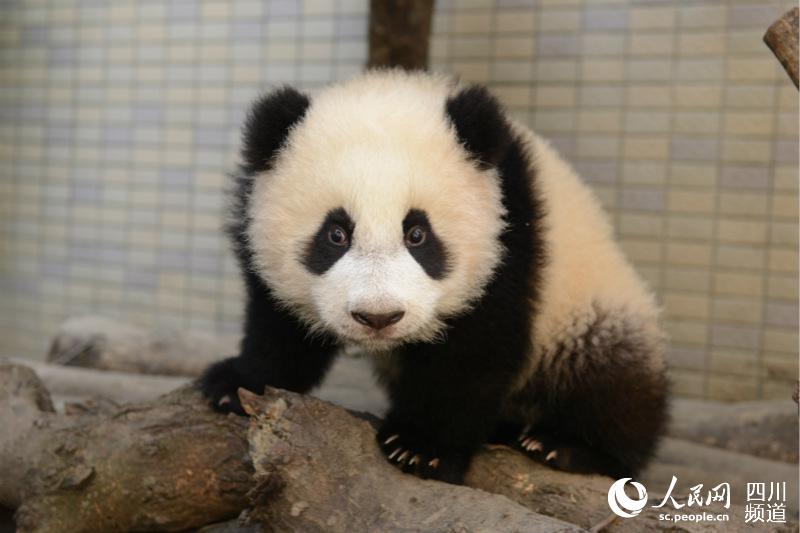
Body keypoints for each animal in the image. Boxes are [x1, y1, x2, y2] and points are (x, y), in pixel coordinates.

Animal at [201, 70, 669, 484]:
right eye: (335, 234)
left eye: (417, 234)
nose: (378, 317)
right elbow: (278, 325)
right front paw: (236, 383)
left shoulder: (508, 239)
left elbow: (474, 352)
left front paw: (422, 447)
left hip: (589, 307)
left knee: (610, 382)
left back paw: (567, 444)